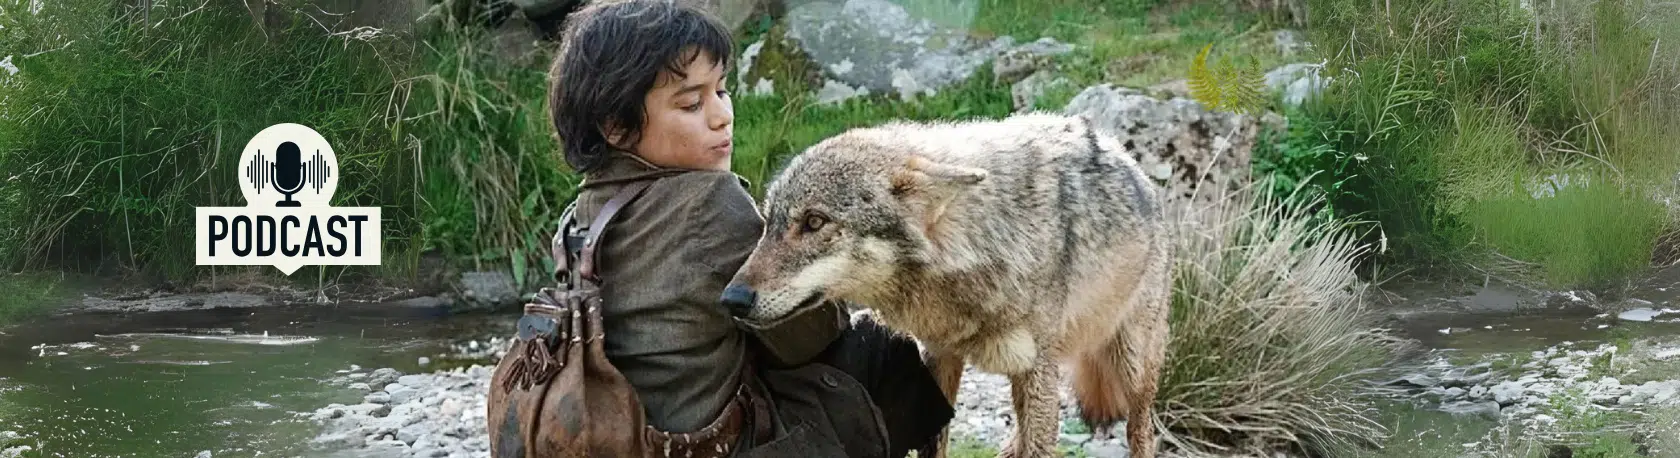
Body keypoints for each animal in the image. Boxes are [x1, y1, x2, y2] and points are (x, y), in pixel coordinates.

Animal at [719, 112, 1173, 458]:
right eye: (769, 223)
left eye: (814, 222)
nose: (732, 299)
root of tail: (1130, 159)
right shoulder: (938, 358)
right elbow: (934, 444)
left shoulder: (1037, 369)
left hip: (1133, 367)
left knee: (1140, 432)